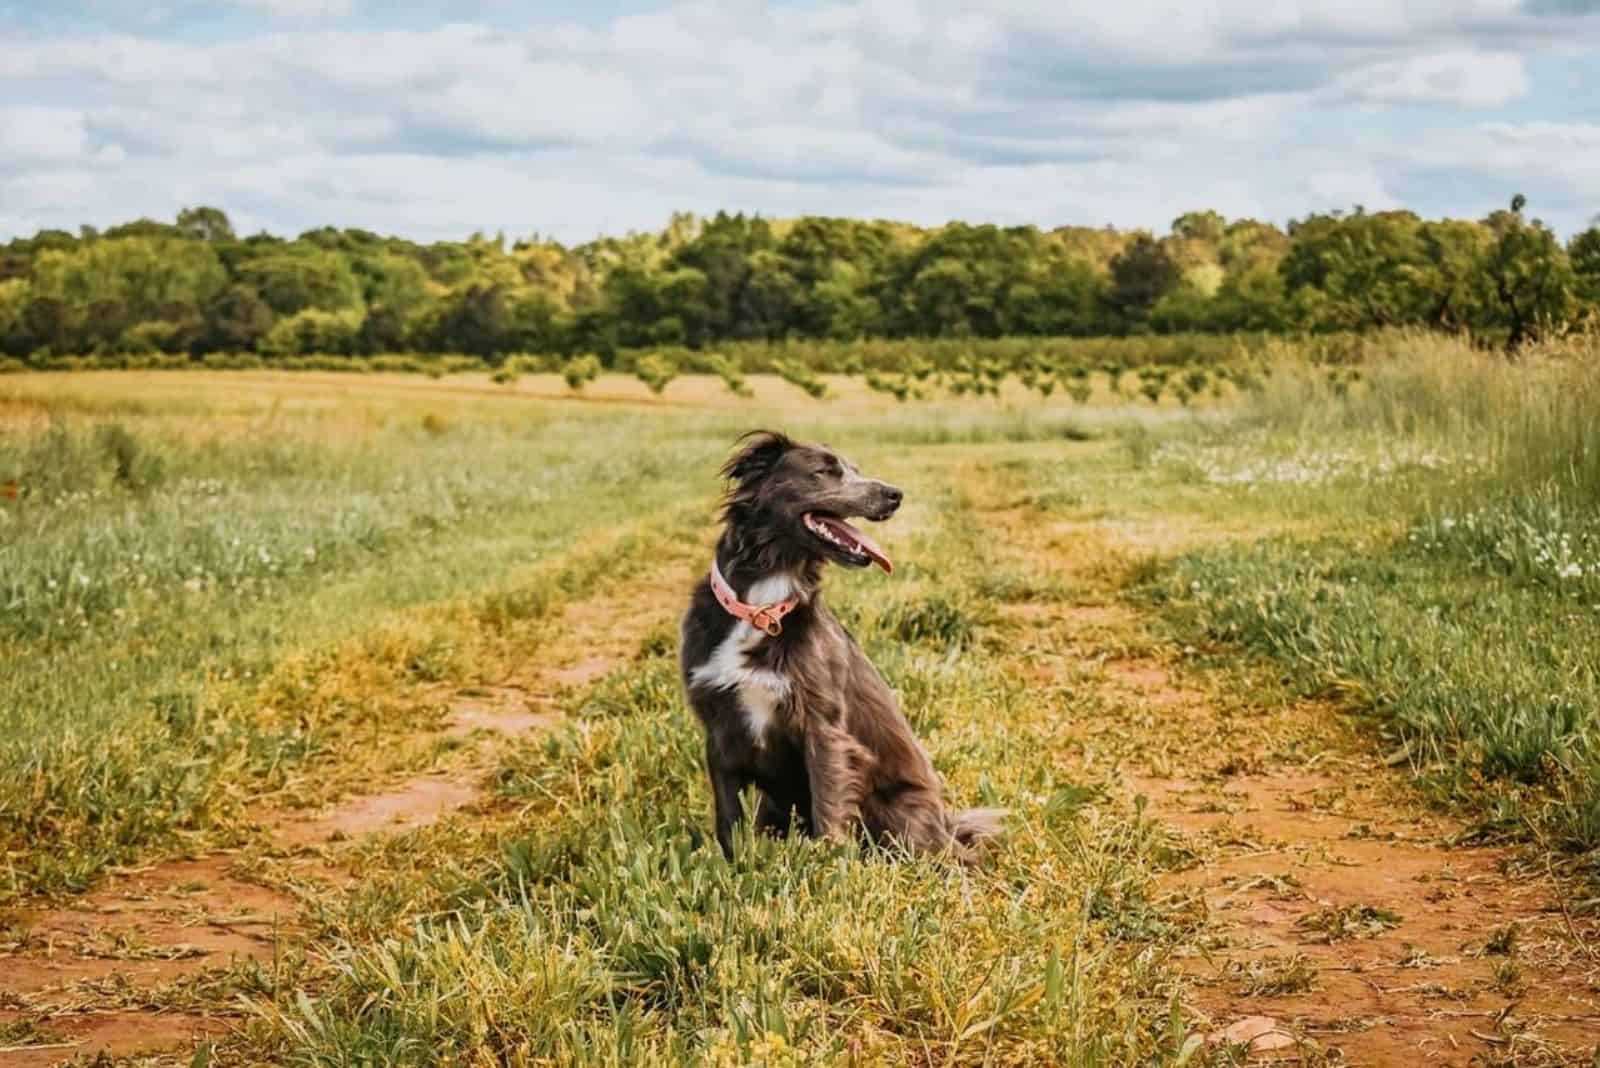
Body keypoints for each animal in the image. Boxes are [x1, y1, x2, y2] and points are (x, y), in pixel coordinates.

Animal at [675, 428, 998, 863]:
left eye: (855, 469)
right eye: (824, 471)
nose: (894, 494)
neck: (762, 608)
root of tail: (946, 827)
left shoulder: (823, 725)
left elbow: (828, 805)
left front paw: (826, 864)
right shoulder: (718, 726)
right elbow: (727, 814)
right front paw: (732, 863)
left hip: (902, 816)